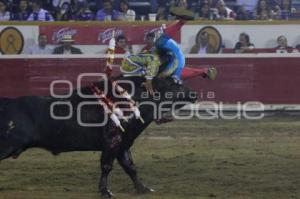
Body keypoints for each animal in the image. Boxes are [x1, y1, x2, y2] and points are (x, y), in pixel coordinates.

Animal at [0, 76, 197, 197]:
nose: (194, 94)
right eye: (171, 85)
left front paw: (143, 188)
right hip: (7, 145)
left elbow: (130, 167)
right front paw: (105, 191)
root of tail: (8, 102)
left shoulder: (123, 144)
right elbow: (107, 166)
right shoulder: (112, 141)